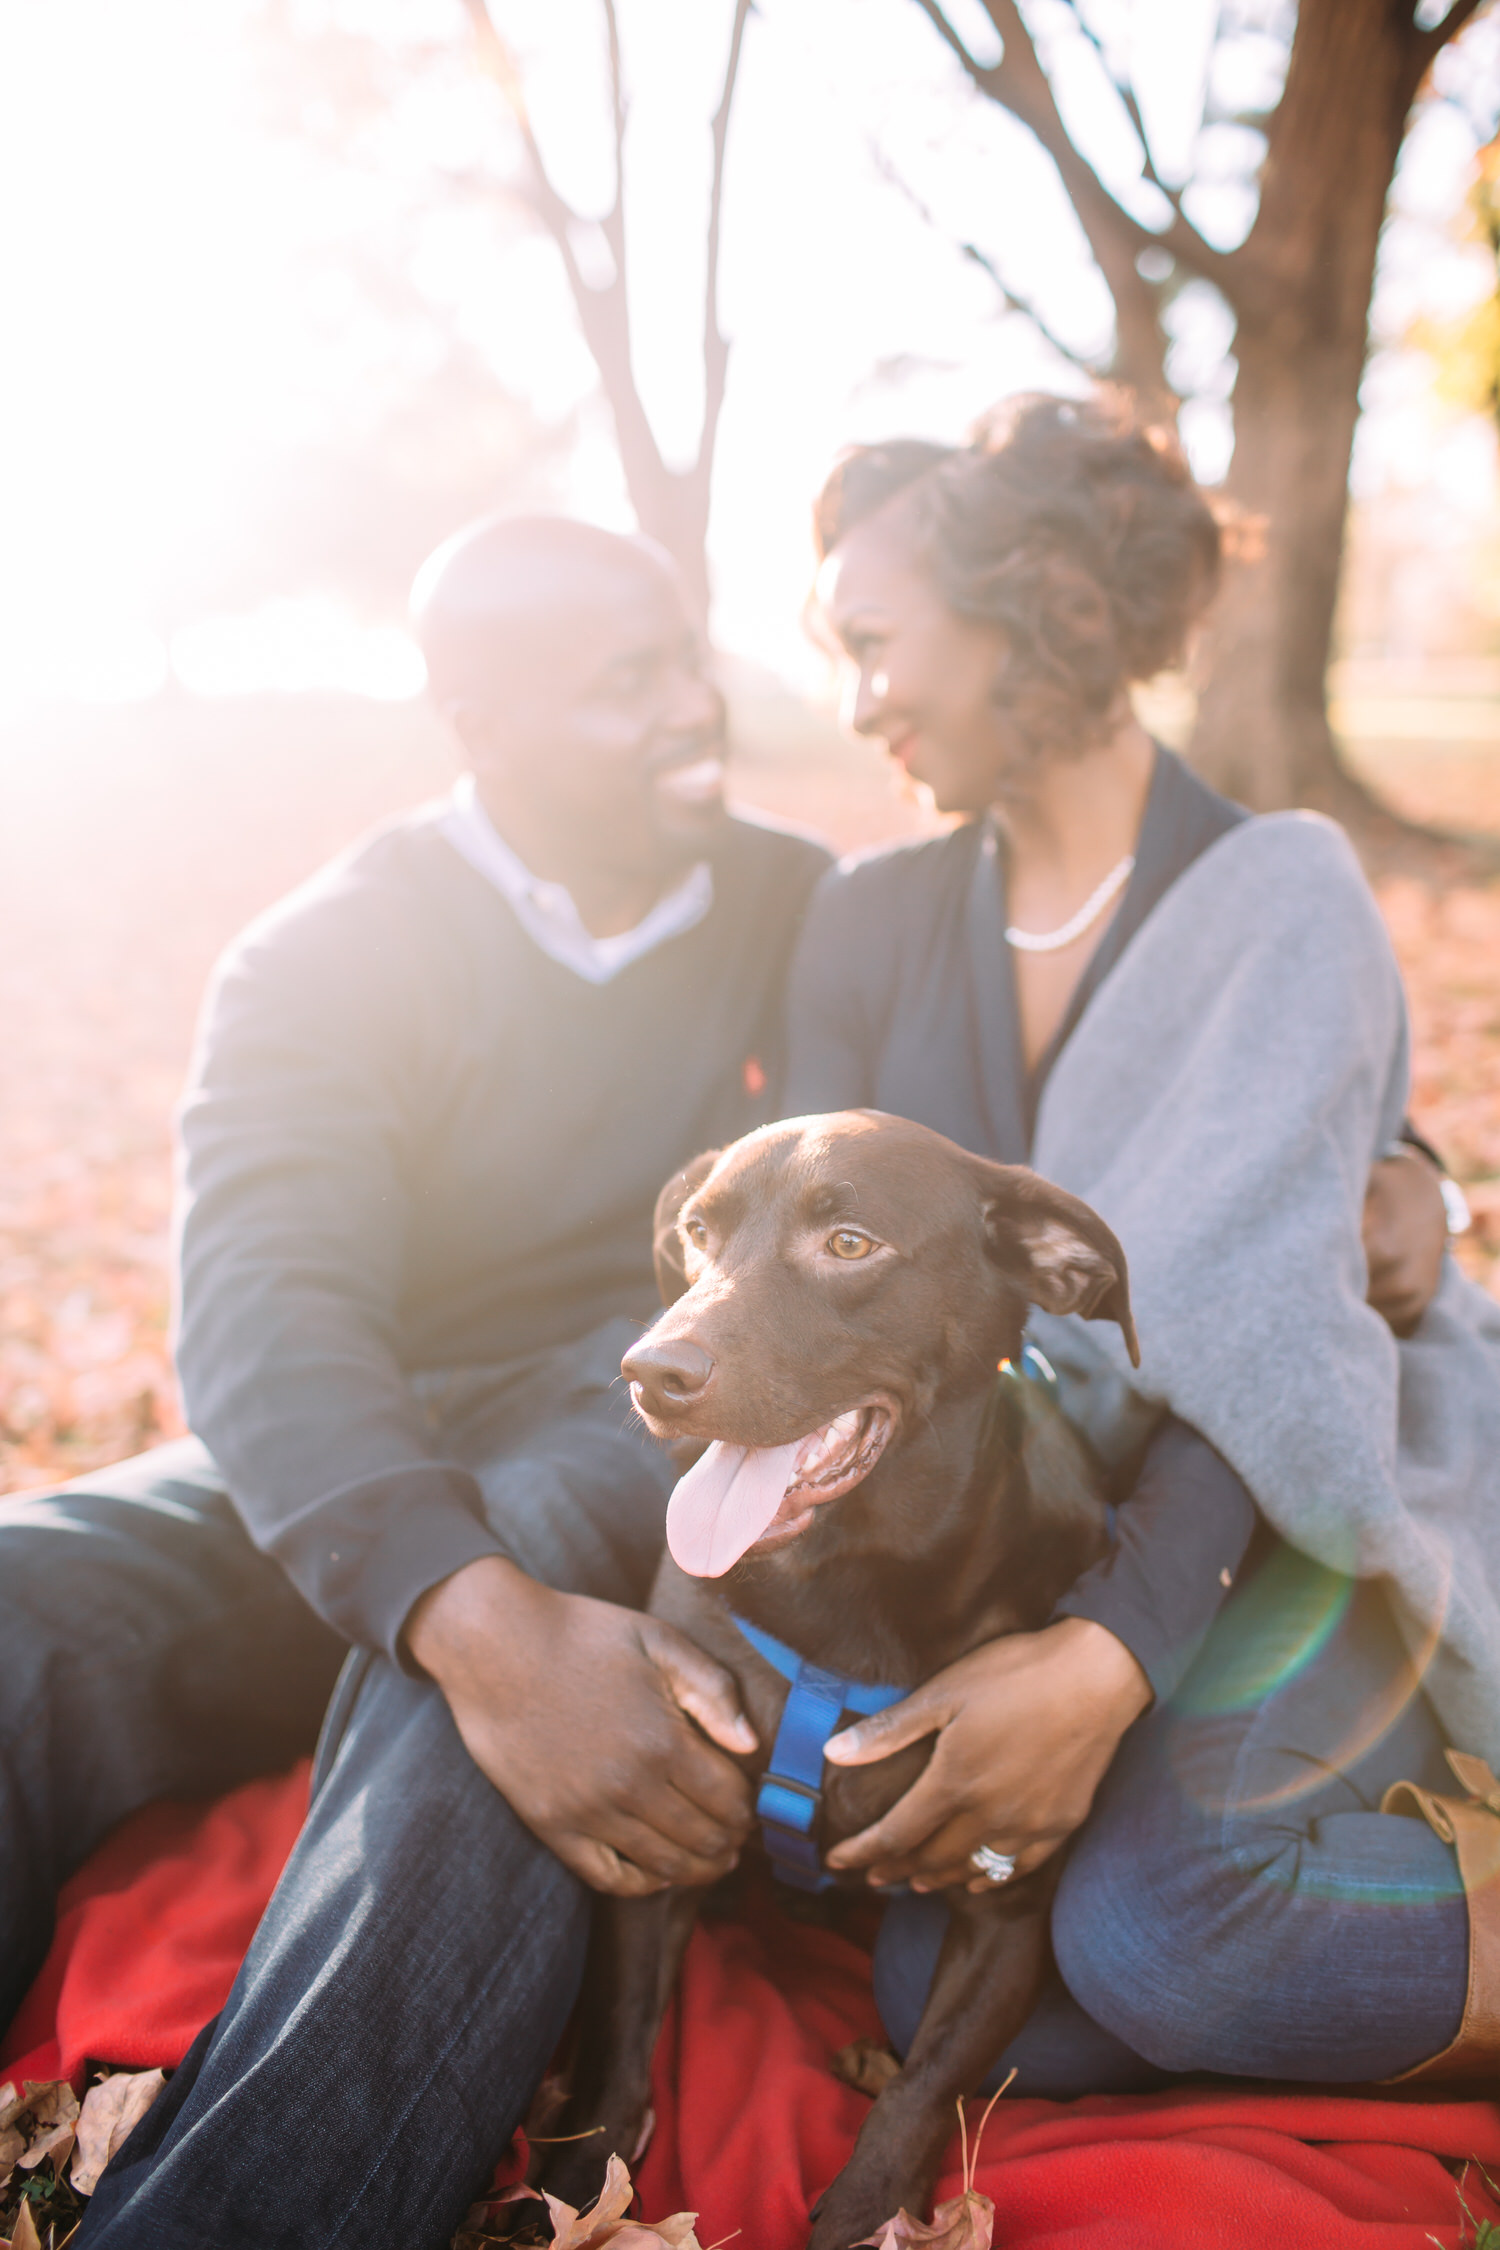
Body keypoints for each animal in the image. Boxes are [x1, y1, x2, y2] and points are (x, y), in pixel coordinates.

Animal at [539, 1111, 1137, 2250]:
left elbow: (924, 2081)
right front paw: (585, 2186)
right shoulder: (665, 1839)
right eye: (697, 1231)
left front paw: (866, 2209)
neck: (845, 1602)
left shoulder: (1007, 1904)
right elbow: (620, 2029)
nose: (652, 1369)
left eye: (850, 1244)